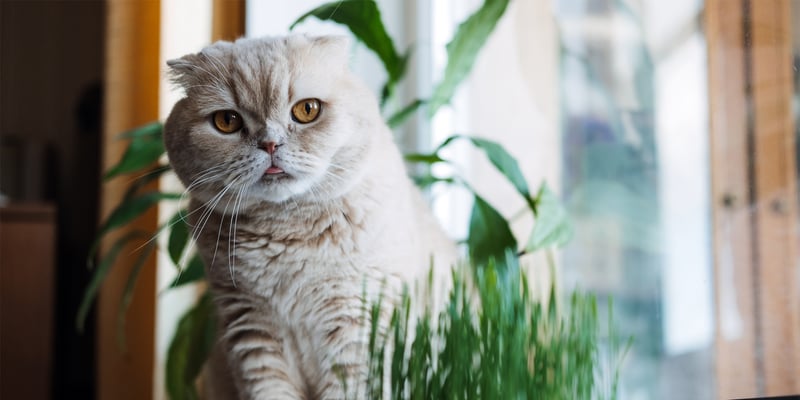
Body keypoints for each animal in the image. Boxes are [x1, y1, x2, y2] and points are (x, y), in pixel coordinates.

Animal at [162, 35, 456, 400]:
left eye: (307, 110)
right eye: (227, 121)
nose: (270, 144)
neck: (285, 234)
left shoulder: (357, 331)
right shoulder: (251, 333)